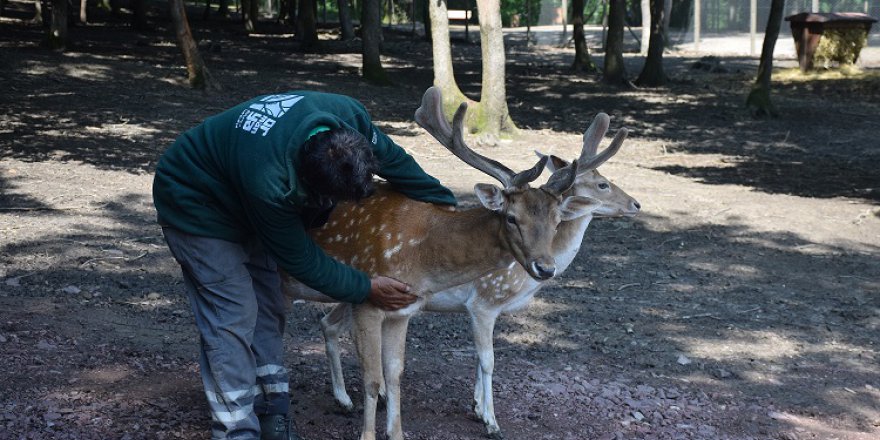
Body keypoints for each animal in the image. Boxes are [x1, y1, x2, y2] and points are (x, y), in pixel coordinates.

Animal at [282, 87, 604, 440]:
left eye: (557, 221)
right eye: (511, 218)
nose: (546, 268)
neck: (421, 258)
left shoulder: (402, 311)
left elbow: (395, 374)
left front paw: (397, 433)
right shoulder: (368, 302)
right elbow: (372, 379)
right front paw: (368, 434)